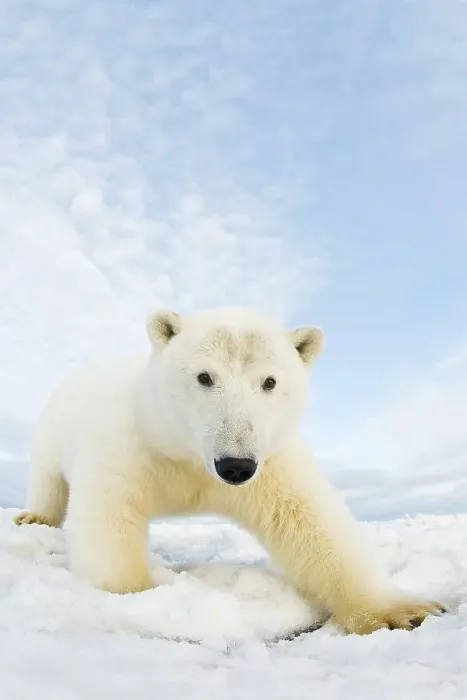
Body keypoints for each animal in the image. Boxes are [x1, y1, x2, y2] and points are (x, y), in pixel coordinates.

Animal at [15, 306, 446, 635]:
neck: (189, 456)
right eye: (205, 376)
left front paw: (403, 613)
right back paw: (35, 516)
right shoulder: (131, 444)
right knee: (47, 476)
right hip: (53, 427)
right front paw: (139, 597)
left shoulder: (271, 463)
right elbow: (108, 518)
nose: (235, 465)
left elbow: (312, 524)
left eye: (270, 381)